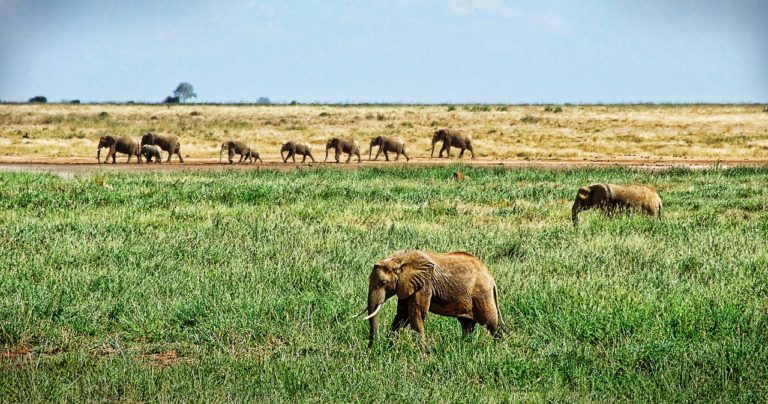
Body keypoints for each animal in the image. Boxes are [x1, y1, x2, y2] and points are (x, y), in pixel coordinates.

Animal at [359, 250, 505, 347]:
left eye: (383, 283)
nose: (372, 348)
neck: (400, 259)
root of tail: (491, 279)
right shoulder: (406, 285)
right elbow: (402, 315)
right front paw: (390, 347)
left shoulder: (424, 285)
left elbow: (416, 314)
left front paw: (422, 355)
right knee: (467, 325)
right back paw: (464, 347)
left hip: (482, 295)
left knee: (492, 324)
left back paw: (497, 349)